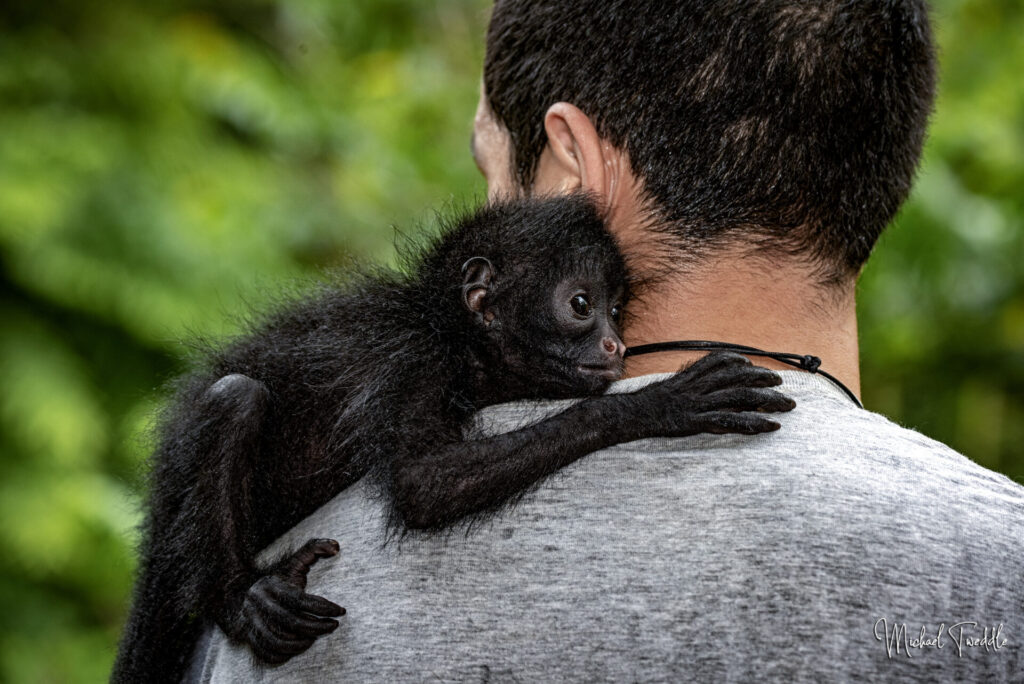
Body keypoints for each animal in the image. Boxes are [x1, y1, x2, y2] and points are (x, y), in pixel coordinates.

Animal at [114, 194, 798, 679]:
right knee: (236, 397)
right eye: (582, 305)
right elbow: (424, 483)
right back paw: (241, 599)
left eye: (616, 311)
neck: (453, 335)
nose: (617, 346)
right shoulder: (415, 358)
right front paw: (660, 403)